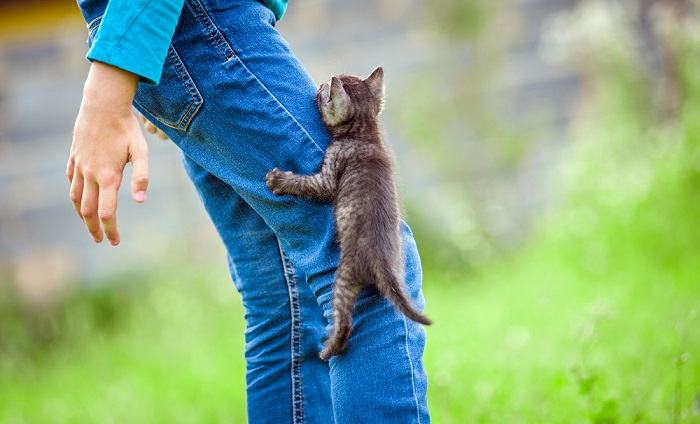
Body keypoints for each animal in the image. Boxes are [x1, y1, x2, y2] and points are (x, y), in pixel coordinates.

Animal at [266, 68, 430, 360]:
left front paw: (279, 180)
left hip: (343, 276)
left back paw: (329, 349)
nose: (320, 83)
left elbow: (309, 185)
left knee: (344, 323)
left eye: (324, 90)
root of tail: (383, 263)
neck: (364, 133)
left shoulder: (331, 168)